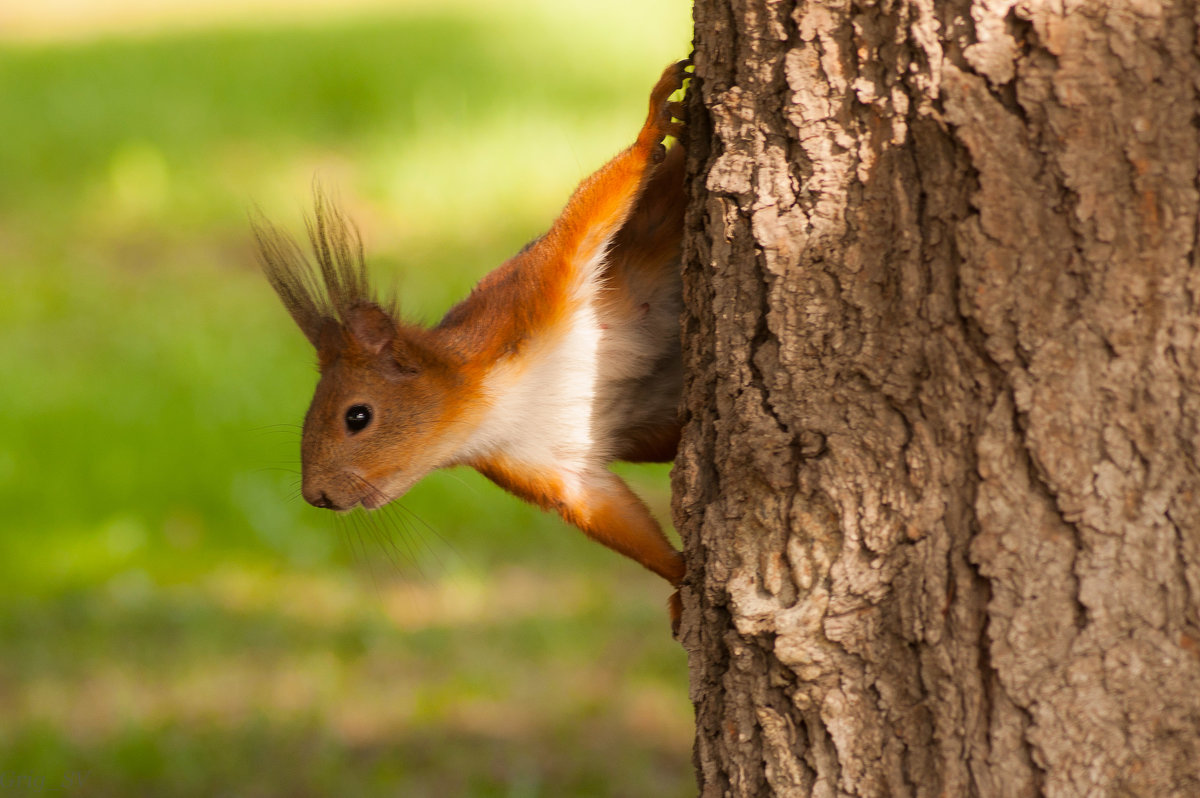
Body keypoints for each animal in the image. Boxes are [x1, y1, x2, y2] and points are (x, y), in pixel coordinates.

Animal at [250, 59, 696, 628]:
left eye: (357, 416)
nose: (317, 497)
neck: (489, 408)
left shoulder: (524, 298)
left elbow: (585, 216)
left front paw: (650, 128)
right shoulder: (544, 464)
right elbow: (609, 513)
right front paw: (682, 578)